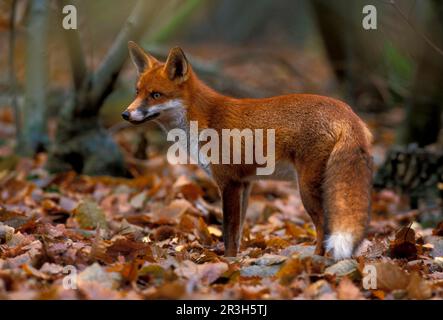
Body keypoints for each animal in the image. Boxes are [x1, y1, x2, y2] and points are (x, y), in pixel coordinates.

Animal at [122, 41, 374, 260]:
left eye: (155, 95)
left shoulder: (228, 182)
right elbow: (239, 232)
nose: (125, 114)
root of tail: (347, 111)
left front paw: (227, 262)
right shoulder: (245, 183)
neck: (204, 120)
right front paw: (236, 260)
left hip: (307, 189)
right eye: (136, 92)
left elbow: (229, 232)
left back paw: (317, 259)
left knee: (324, 226)